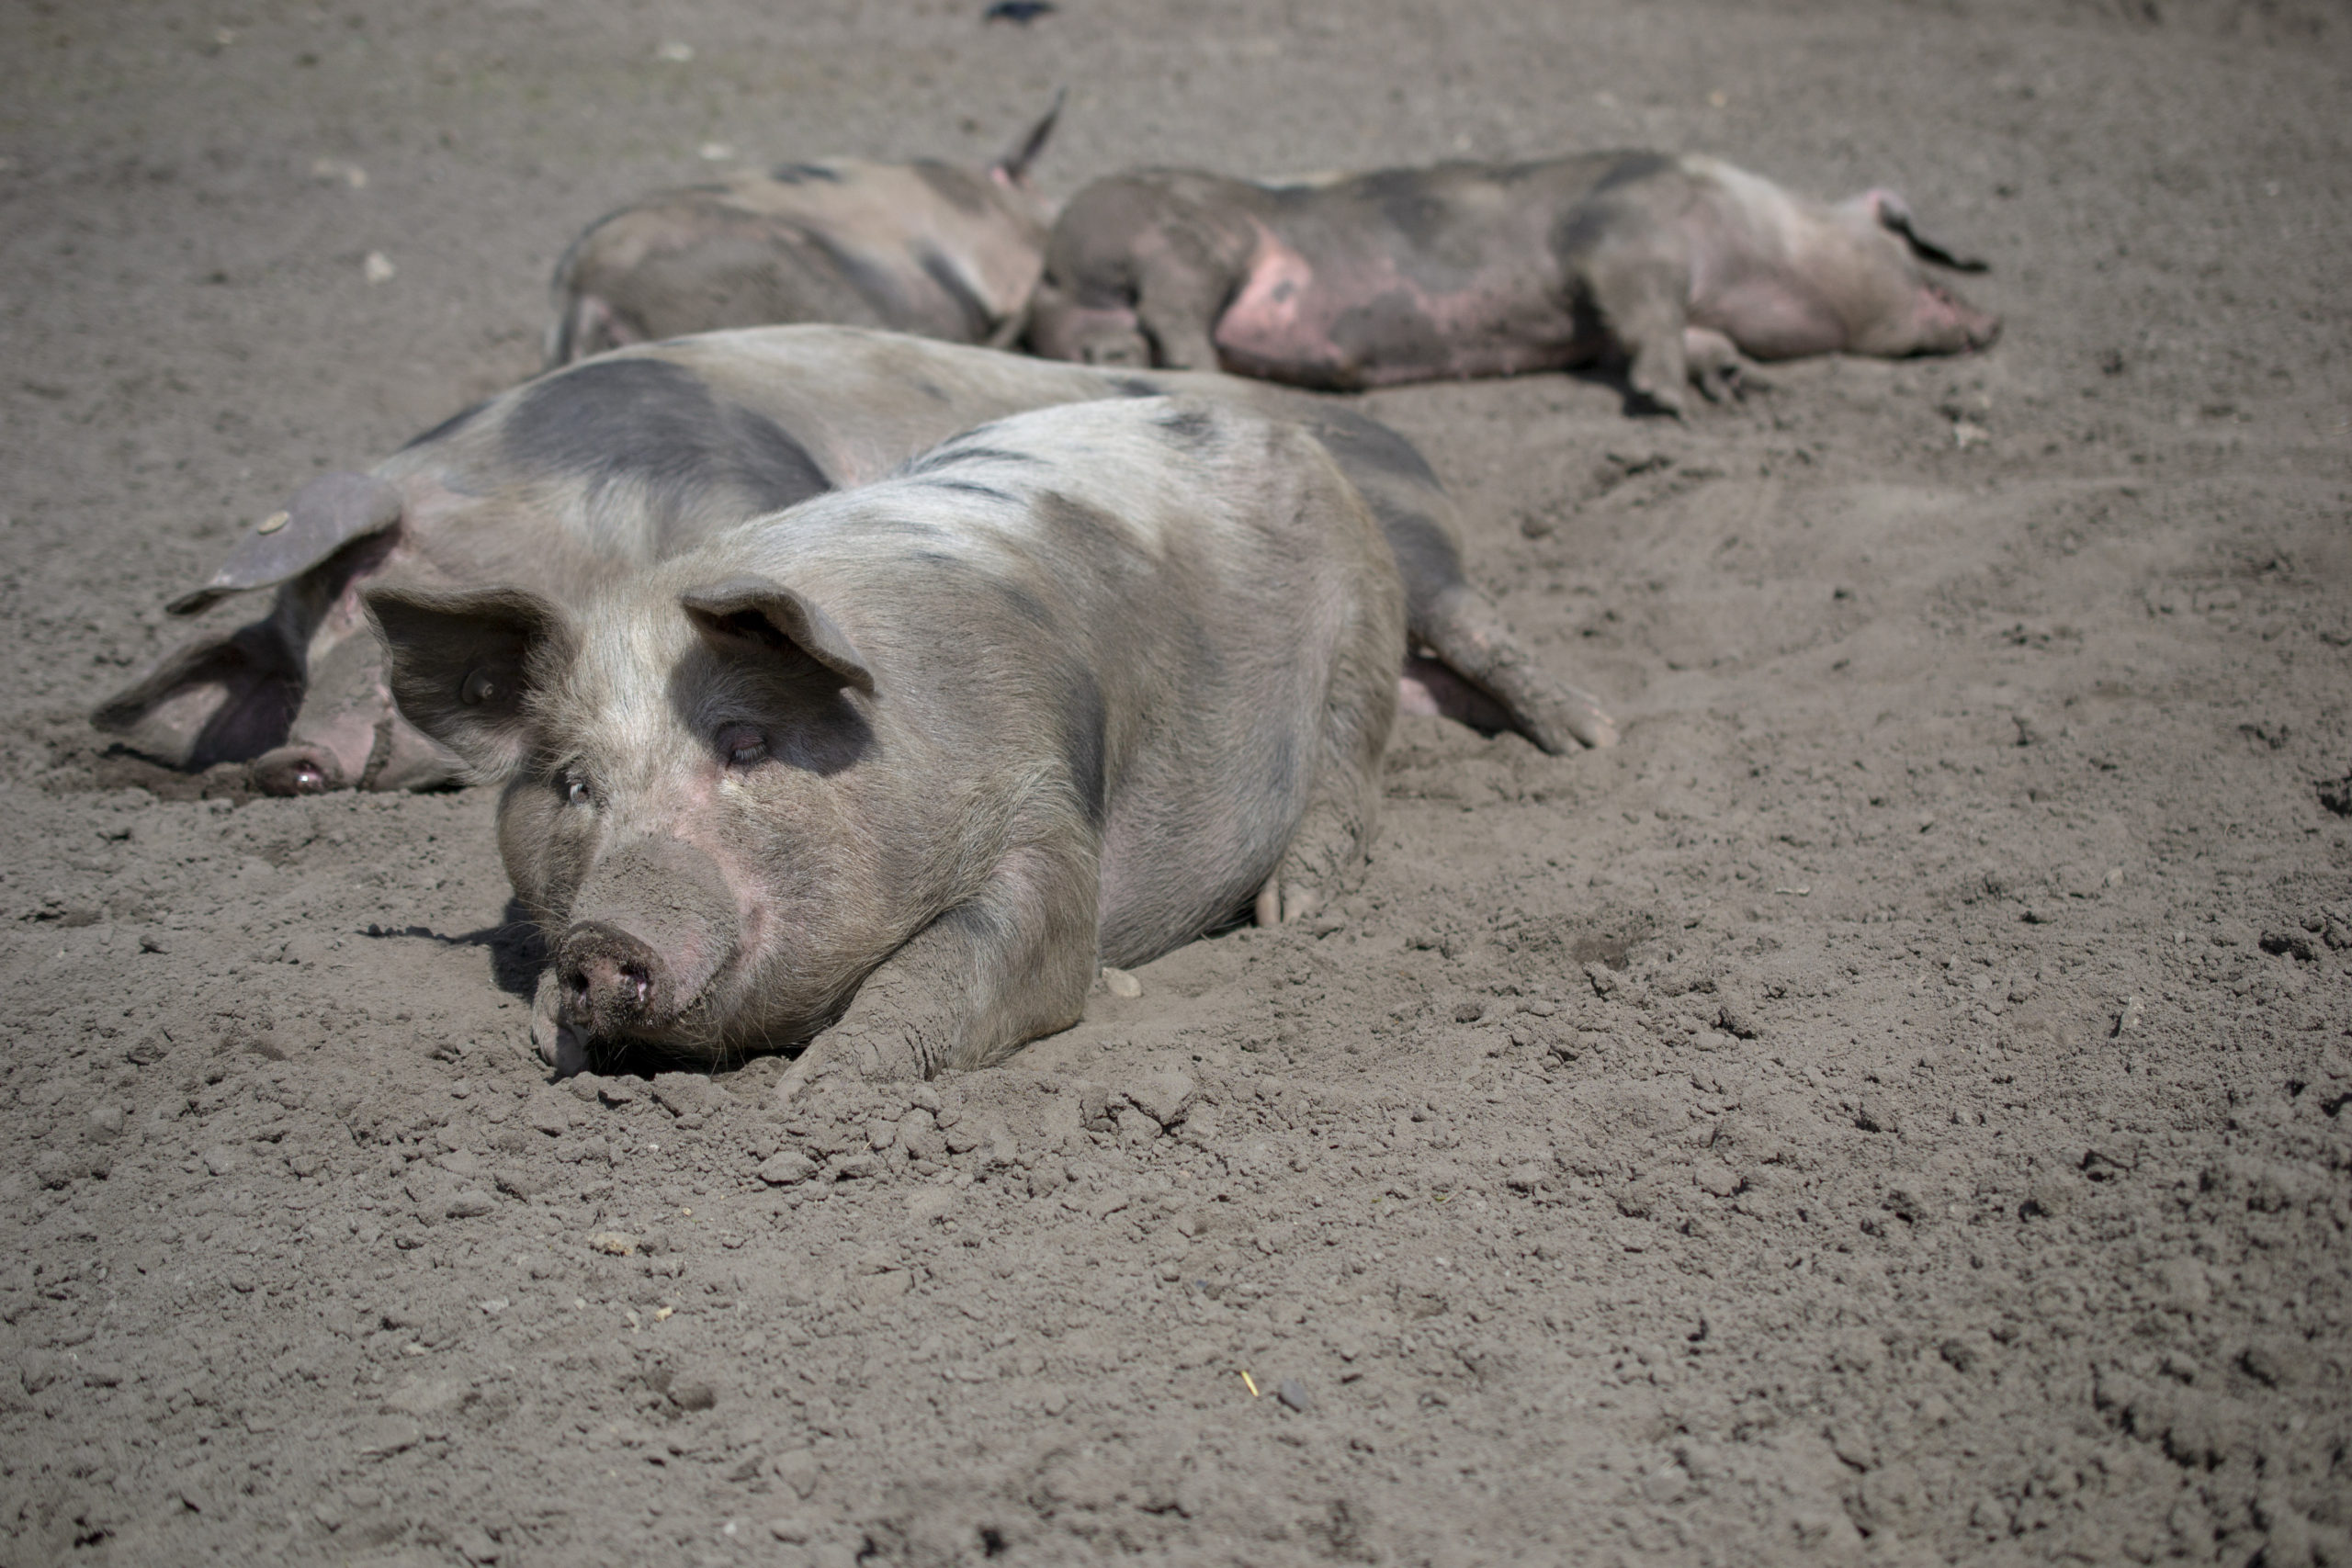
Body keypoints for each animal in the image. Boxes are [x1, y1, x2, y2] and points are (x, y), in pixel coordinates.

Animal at [91, 326, 1599, 804]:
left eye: (357, 589)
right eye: (288, 631)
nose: (287, 753)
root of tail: (1406, 451)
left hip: (1419, 559)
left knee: (1474, 626)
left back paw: (1588, 742)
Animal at [364, 394, 1392, 1081]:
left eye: (744, 744)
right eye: (576, 782)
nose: (605, 938)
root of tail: (1263, 421)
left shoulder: (1044, 811)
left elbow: (985, 956)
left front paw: (816, 1091)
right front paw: (554, 1039)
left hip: (1361, 631)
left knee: (1348, 767)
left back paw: (1291, 916)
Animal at [1030, 148, 2004, 411]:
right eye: (1909, 244)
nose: (1991, 321)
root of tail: (1052, 263)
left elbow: (1686, 334)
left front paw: (1738, 385)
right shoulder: (1627, 234)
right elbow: (1647, 318)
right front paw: (1674, 404)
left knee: (1118, 332)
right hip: (1191, 239)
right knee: (1174, 305)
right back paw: (1200, 368)